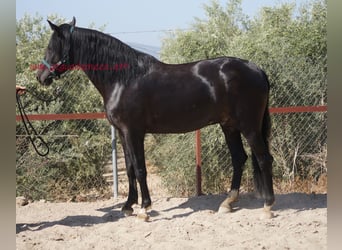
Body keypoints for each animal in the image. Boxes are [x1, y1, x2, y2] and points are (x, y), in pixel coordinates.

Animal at [36, 17, 276, 219]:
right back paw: (228, 203)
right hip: (229, 126)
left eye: (51, 47)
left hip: (249, 126)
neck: (124, 79)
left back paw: (268, 206)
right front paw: (128, 206)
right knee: (239, 158)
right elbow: (130, 168)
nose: (41, 77)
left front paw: (144, 209)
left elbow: (140, 168)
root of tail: (256, 69)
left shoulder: (134, 132)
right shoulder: (122, 133)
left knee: (264, 158)